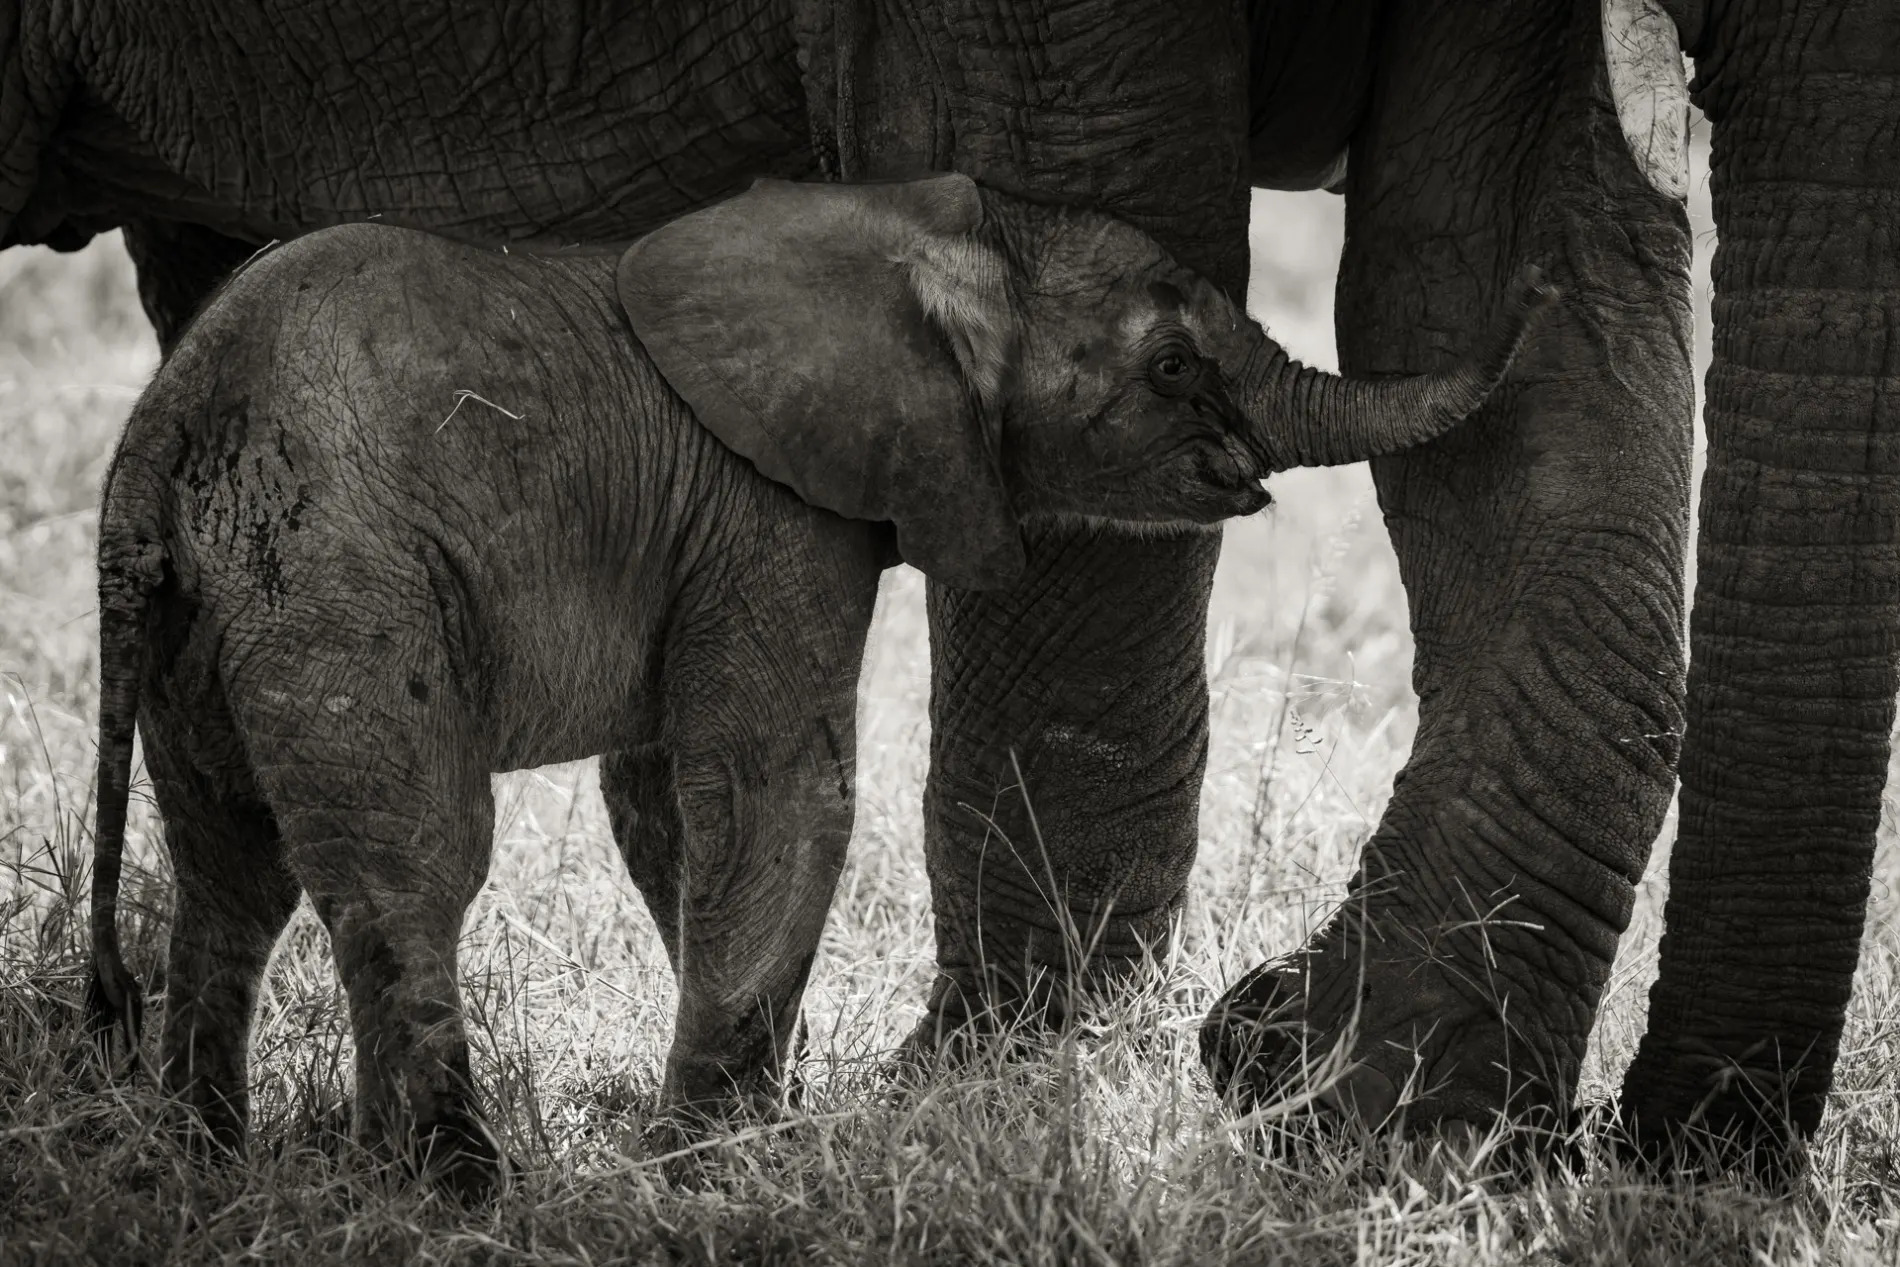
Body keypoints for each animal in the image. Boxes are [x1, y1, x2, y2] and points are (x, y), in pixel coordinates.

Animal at [85, 173, 1542, 1192]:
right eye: (1171, 364)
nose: (1535, 290)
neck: (923, 234)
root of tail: (163, 431)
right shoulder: (769, 510)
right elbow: (777, 791)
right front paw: (721, 1167)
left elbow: (671, 808)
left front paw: (736, 1134)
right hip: (341, 573)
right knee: (411, 866)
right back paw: (456, 1187)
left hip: (211, 619)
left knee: (230, 871)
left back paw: (198, 1164)